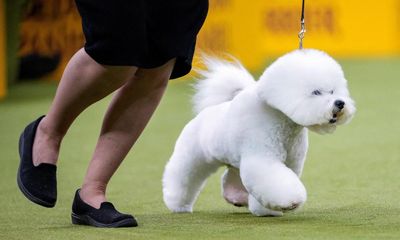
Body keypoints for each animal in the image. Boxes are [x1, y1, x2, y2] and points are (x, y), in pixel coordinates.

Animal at [162, 49, 356, 218]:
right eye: (316, 92)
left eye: (332, 91)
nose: (340, 103)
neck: (283, 122)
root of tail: (204, 114)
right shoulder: (262, 157)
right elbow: (274, 181)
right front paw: (289, 203)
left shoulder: (291, 162)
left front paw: (267, 210)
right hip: (193, 156)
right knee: (183, 176)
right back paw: (178, 205)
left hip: (236, 160)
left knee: (231, 177)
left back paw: (237, 197)